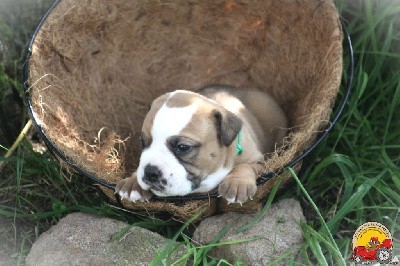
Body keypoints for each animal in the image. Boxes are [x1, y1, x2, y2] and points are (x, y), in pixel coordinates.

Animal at [115, 85, 288, 204]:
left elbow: (244, 166)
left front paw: (237, 183)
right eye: (143, 142)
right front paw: (133, 183)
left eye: (183, 148)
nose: (150, 172)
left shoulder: (258, 160)